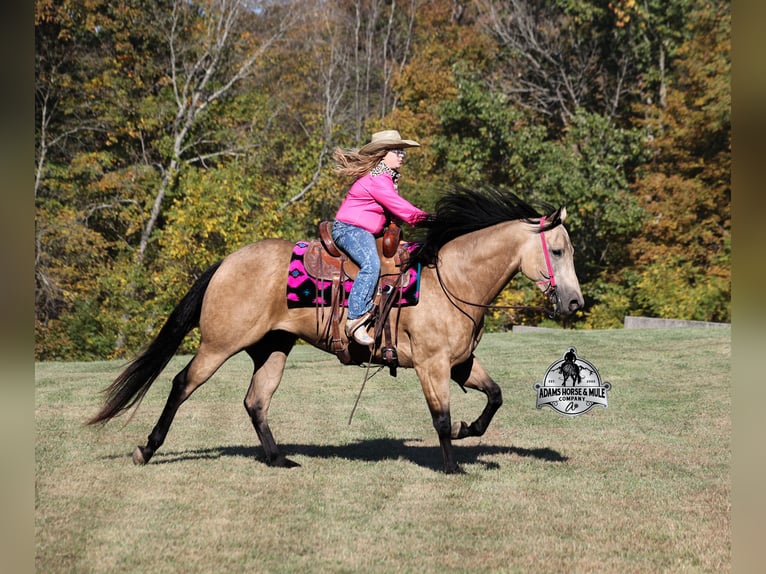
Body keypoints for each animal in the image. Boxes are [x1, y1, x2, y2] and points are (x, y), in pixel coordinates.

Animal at [88, 187, 584, 474]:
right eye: (558, 251)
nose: (575, 303)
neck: (453, 279)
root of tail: (226, 261)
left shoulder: (460, 363)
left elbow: (494, 396)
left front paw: (469, 431)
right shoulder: (432, 365)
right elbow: (440, 417)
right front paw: (452, 467)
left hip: (273, 348)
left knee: (255, 401)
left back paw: (279, 459)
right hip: (219, 343)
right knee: (181, 383)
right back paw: (146, 449)